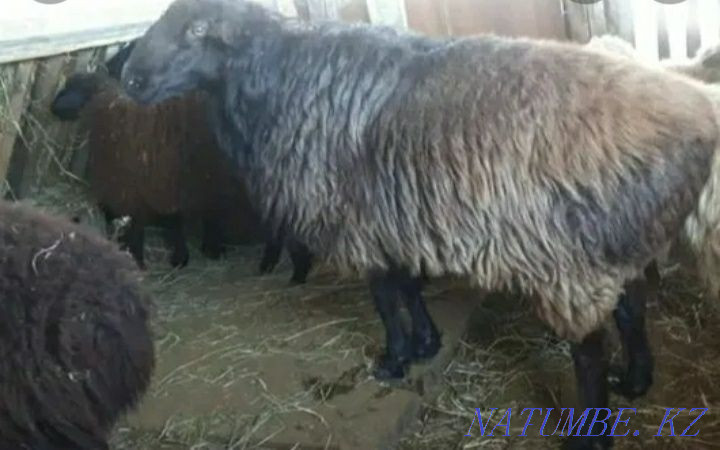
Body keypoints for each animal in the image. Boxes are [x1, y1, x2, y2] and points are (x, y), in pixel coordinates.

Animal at [51, 49, 314, 282]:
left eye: (73, 89)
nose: (53, 107)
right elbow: (174, 222)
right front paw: (186, 255)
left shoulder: (143, 186)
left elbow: (146, 227)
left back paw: (295, 271)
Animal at [121, 1, 720, 447]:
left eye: (198, 29)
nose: (127, 77)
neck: (280, 83)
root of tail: (695, 113)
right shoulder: (396, 220)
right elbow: (407, 286)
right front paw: (427, 344)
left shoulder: (359, 224)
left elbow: (386, 298)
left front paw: (394, 359)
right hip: (619, 242)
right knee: (633, 309)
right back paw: (636, 381)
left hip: (571, 257)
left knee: (589, 352)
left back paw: (590, 433)